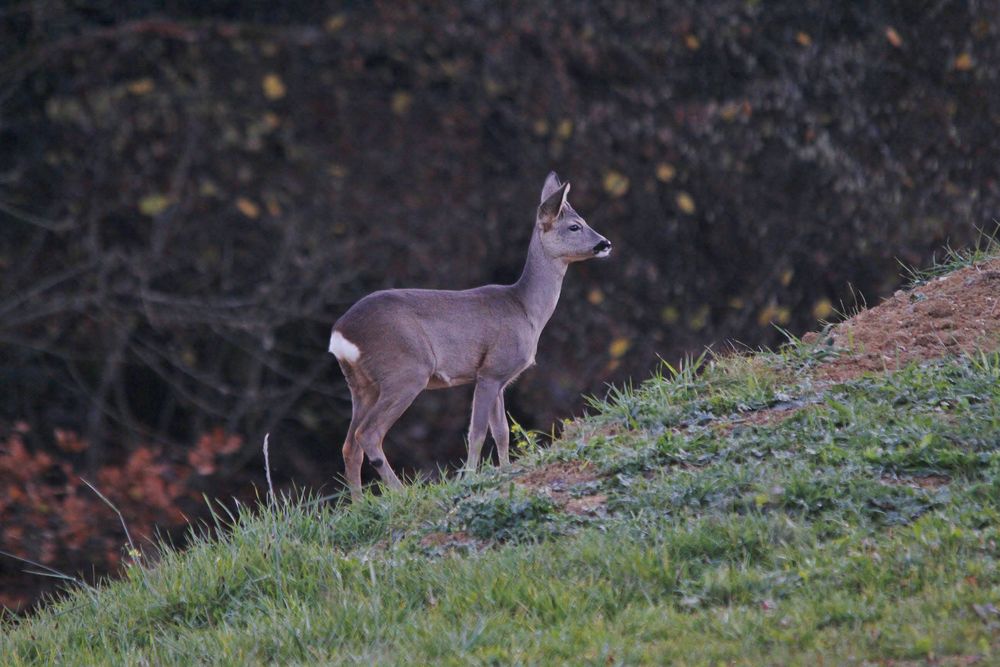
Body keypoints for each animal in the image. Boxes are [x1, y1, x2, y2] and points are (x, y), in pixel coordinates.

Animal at [330, 174, 608, 500]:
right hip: (405, 372)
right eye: (575, 226)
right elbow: (477, 432)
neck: (525, 308)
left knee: (349, 445)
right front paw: (470, 478)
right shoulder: (491, 371)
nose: (605, 243)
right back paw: (402, 493)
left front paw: (504, 471)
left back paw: (359, 503)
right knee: (369, 434)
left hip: (362, 386)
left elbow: (501, 431)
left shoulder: (500, 379)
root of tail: (341, 333)